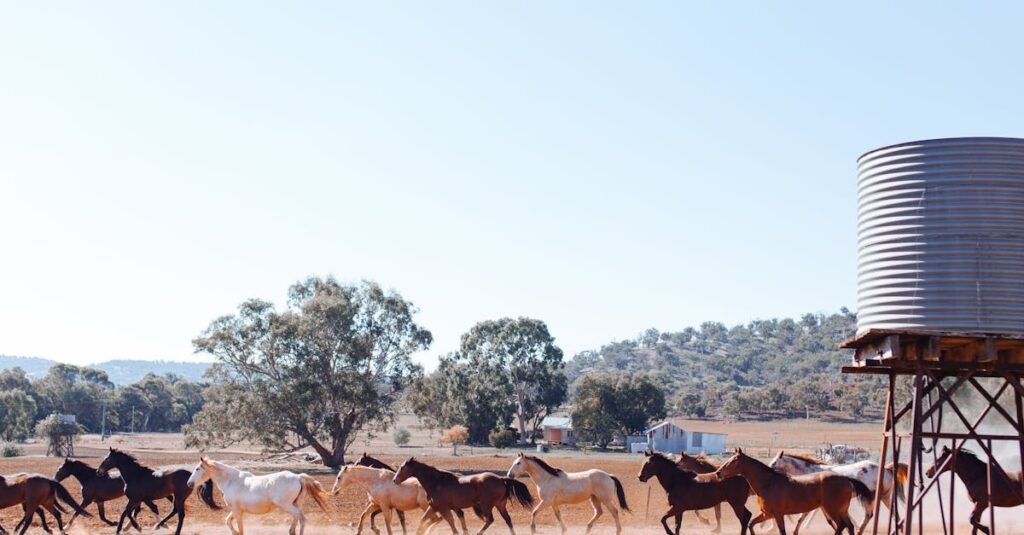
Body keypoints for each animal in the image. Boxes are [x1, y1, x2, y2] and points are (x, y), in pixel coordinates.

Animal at [187, 457, 328, 535]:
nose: (189, 483)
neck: (232, 481)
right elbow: (228, 521)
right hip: (295, 504)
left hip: (287, 505)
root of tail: (298, 477)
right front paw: (234, 532)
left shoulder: (237, 511)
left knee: (301, 518)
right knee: (298, 520)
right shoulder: (235, 510)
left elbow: (241, 529)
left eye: (197, 469)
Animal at [393, 457, 534, 535]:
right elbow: (424, 521)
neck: (436, 482)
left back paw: (478, 533)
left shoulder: (443, 508)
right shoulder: (436, 507)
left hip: (487, 505)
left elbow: (451, 523)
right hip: (500, 505)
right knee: (508, 520)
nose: (394, 480)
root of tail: (501, 478)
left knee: (490, 519)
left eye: (402, 468)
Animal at [714, 448, 873, 535]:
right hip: (841, 509)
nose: (718, 473)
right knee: (849, 526)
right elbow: (751, 524)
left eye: (733, 461)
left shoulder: (778, 515)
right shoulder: (767, 514)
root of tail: (846, 478)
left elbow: (782, 531)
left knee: (841, 525)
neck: (768, 483)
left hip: (832, 509)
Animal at [769, 451, 907, 535]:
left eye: (774, 462)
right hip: (885, 497)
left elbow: (803, 517)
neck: (810, 472)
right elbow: (829, 520)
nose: (769, 470)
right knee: (894, 513)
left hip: (870, 498)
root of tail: (887, 469)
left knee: (869, 515)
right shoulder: (824, 505)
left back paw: (859, 530)